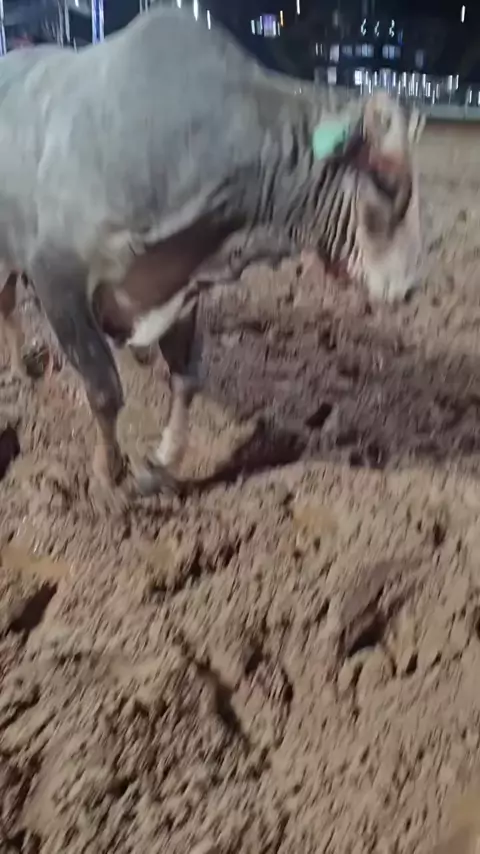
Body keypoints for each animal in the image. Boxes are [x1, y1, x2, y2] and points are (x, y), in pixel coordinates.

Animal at [0, 6, 425, 511]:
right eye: (384, 177)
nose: (411, 285)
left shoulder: (178, 287)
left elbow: (187, 380)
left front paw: (158, 467)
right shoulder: (57, 279)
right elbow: (104, 389)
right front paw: (109, 478)